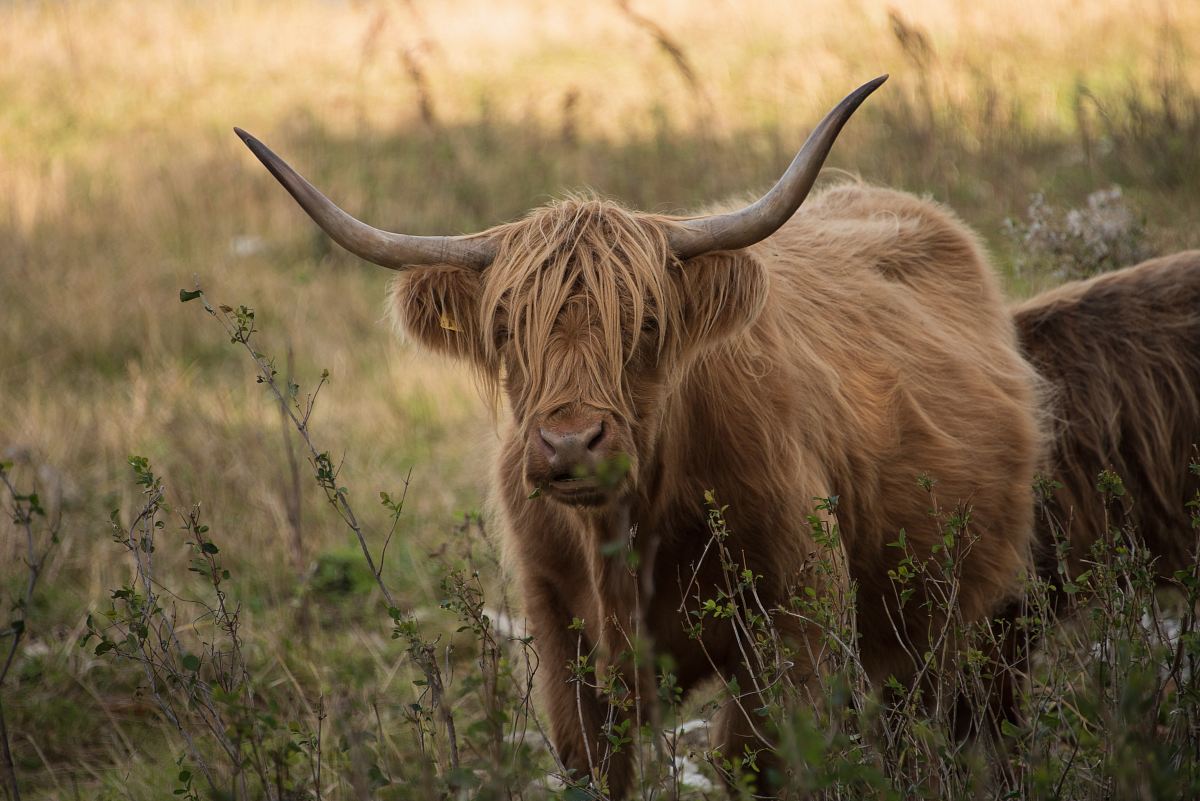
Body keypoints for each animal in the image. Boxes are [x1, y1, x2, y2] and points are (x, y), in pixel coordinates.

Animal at [238, 77, 1046, 791]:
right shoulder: (560, 635)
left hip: (956, 622)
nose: (570, 445)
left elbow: (752, 758)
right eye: (505, 330)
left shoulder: (796, 622)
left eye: (648, 324)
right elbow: (594, 763)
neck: (626, 528)